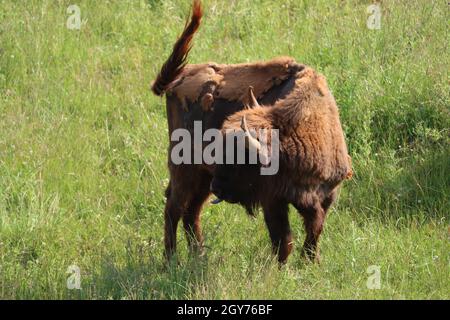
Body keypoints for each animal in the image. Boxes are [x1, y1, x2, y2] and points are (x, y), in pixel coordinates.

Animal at [151, 1, 352, 264]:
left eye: (241, 159)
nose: (218, 187)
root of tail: (179, 78)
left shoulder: (326, 197)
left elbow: (313, 233)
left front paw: (310, 262)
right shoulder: (273, 201)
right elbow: (284, 241)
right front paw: (281, 268)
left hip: (201, 177)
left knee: (191, 212)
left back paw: (198, 255)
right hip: (185, 169)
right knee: (173, 208)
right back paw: (170, 260)